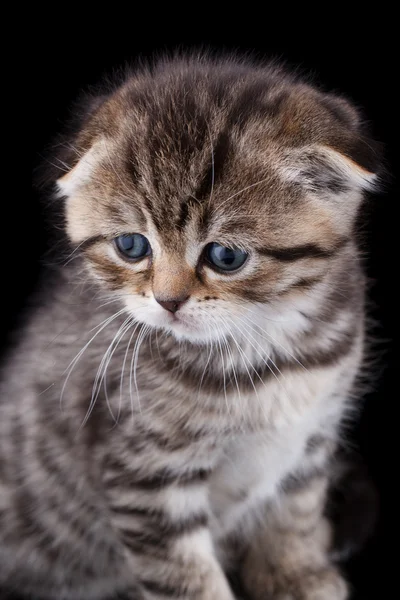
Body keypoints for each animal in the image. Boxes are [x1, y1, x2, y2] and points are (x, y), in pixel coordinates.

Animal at [0, 54, 382, 596]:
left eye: (226, 256)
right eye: (131, 246)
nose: (168, 300)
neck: (265, 348)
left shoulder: (315, 434)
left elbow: (296, 507)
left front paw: (295, 571)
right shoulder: (144, 473)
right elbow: (186, 577)